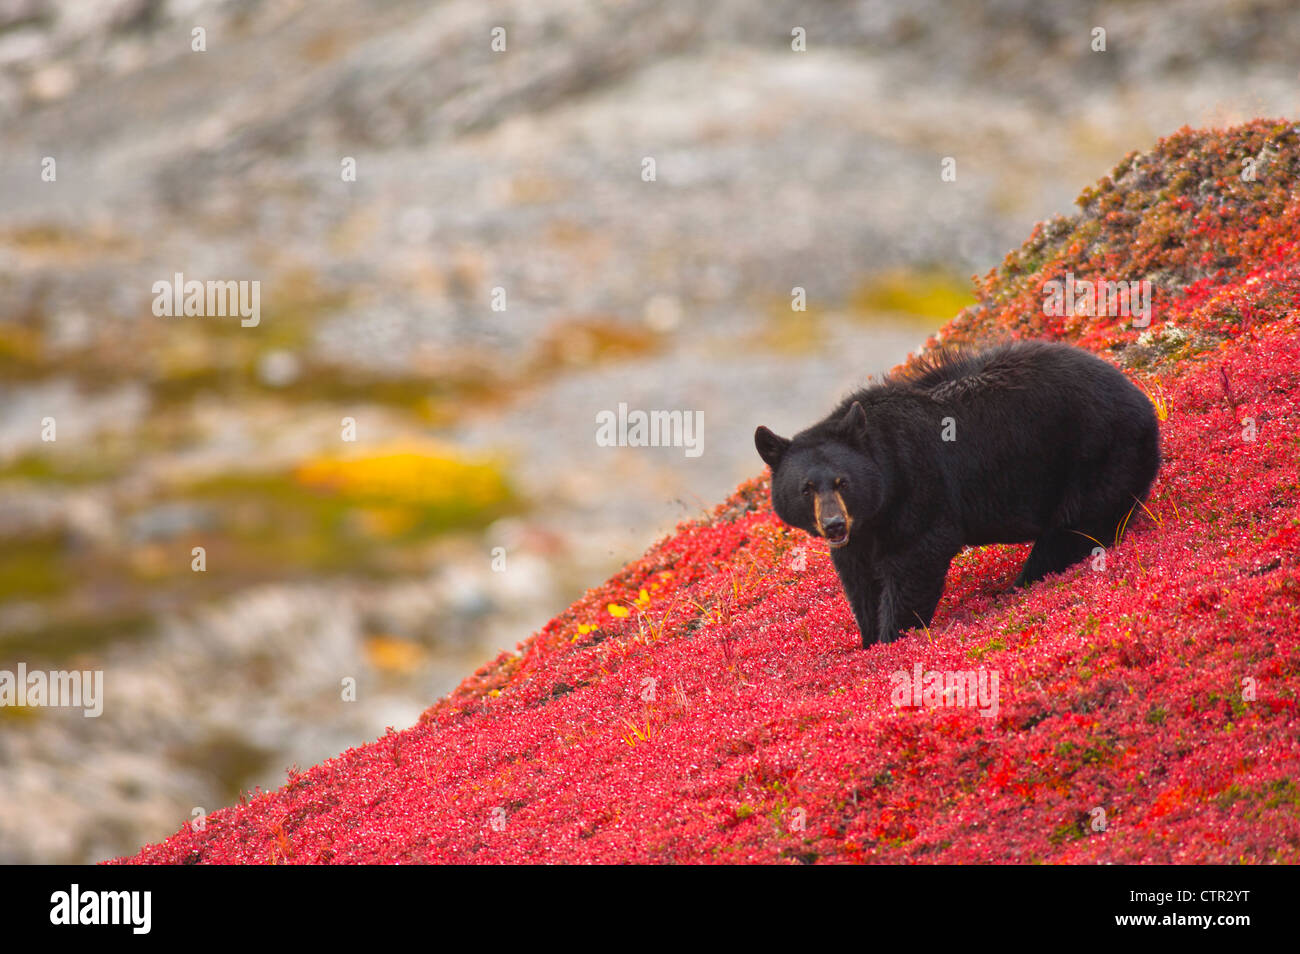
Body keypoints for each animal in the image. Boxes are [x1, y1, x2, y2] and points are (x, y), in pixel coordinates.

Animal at [759, 340, 1164, 647]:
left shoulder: (918, 490)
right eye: (806, 488)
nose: (833, 524)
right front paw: (870, 639)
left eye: (843, 481)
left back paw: (1020, 585)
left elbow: (913, 562)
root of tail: (1142, 399)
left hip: (1097, 459)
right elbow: (859, 580)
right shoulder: (862, 534)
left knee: (1073, 532)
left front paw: (893, 638)